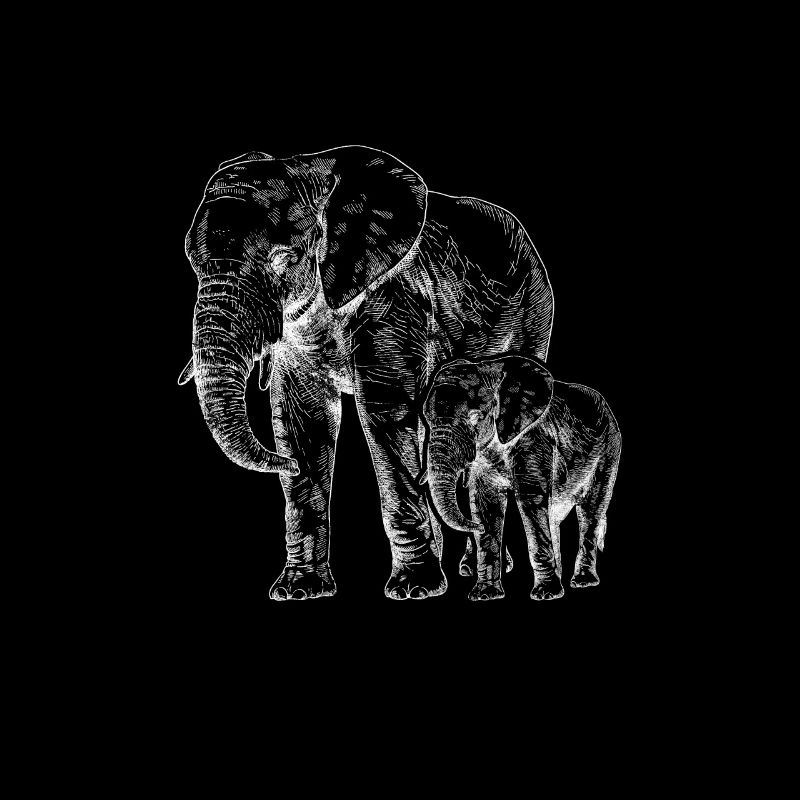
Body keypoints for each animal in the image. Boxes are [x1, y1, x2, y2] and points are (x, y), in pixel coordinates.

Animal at [178, 145, 553, 600]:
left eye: (284, 258)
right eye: (191, 260)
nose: (283, 464)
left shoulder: (394, 299)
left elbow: (383, 413)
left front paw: (414, 589)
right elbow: (302, 420)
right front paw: (300, 590)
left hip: (532, 316)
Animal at [421, 355, 621, 600]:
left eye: (475, 417)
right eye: (426, 419)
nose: (475, 527)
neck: (491, 368)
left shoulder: (534, 438)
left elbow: (530, 500)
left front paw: (545, 594)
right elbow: (485, 503)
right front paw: (485, 595)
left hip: (608, 451)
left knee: (590, 510)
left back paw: (583, 582)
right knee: (554, 513)